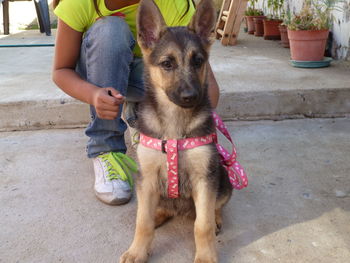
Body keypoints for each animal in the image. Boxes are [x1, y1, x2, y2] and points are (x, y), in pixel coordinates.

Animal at [120, 0, 232, 263]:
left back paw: (217, 218)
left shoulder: (205, 179)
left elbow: (203, 225)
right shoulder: (147, 178)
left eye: (198, 61)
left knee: (216, 207)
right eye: (167, 64)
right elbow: (143, 222)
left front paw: (206, 256)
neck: (174, 124)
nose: (191, 97)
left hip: (222, 175)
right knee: (156, 211)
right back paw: (159, 215)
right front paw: (137, 251)